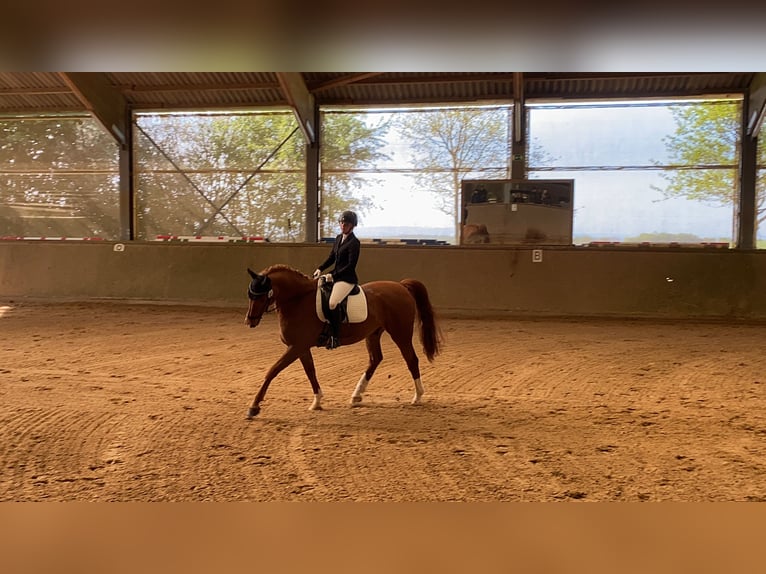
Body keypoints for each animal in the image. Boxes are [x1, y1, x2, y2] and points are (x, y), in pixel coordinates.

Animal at [243, 264, 443, 419]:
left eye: (261, 295)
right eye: (250, 295)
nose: (250, 321)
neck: (298, 301)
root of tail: (401, 286)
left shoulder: (296, 346)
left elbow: (272, 371)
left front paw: (254, 407)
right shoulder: (301, 347)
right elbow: (310, 372)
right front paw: (317, 401)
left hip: (400, 333)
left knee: (411, 359)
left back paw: (417, 397)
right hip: (373, 334)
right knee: (375, 359)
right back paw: (356, 396)